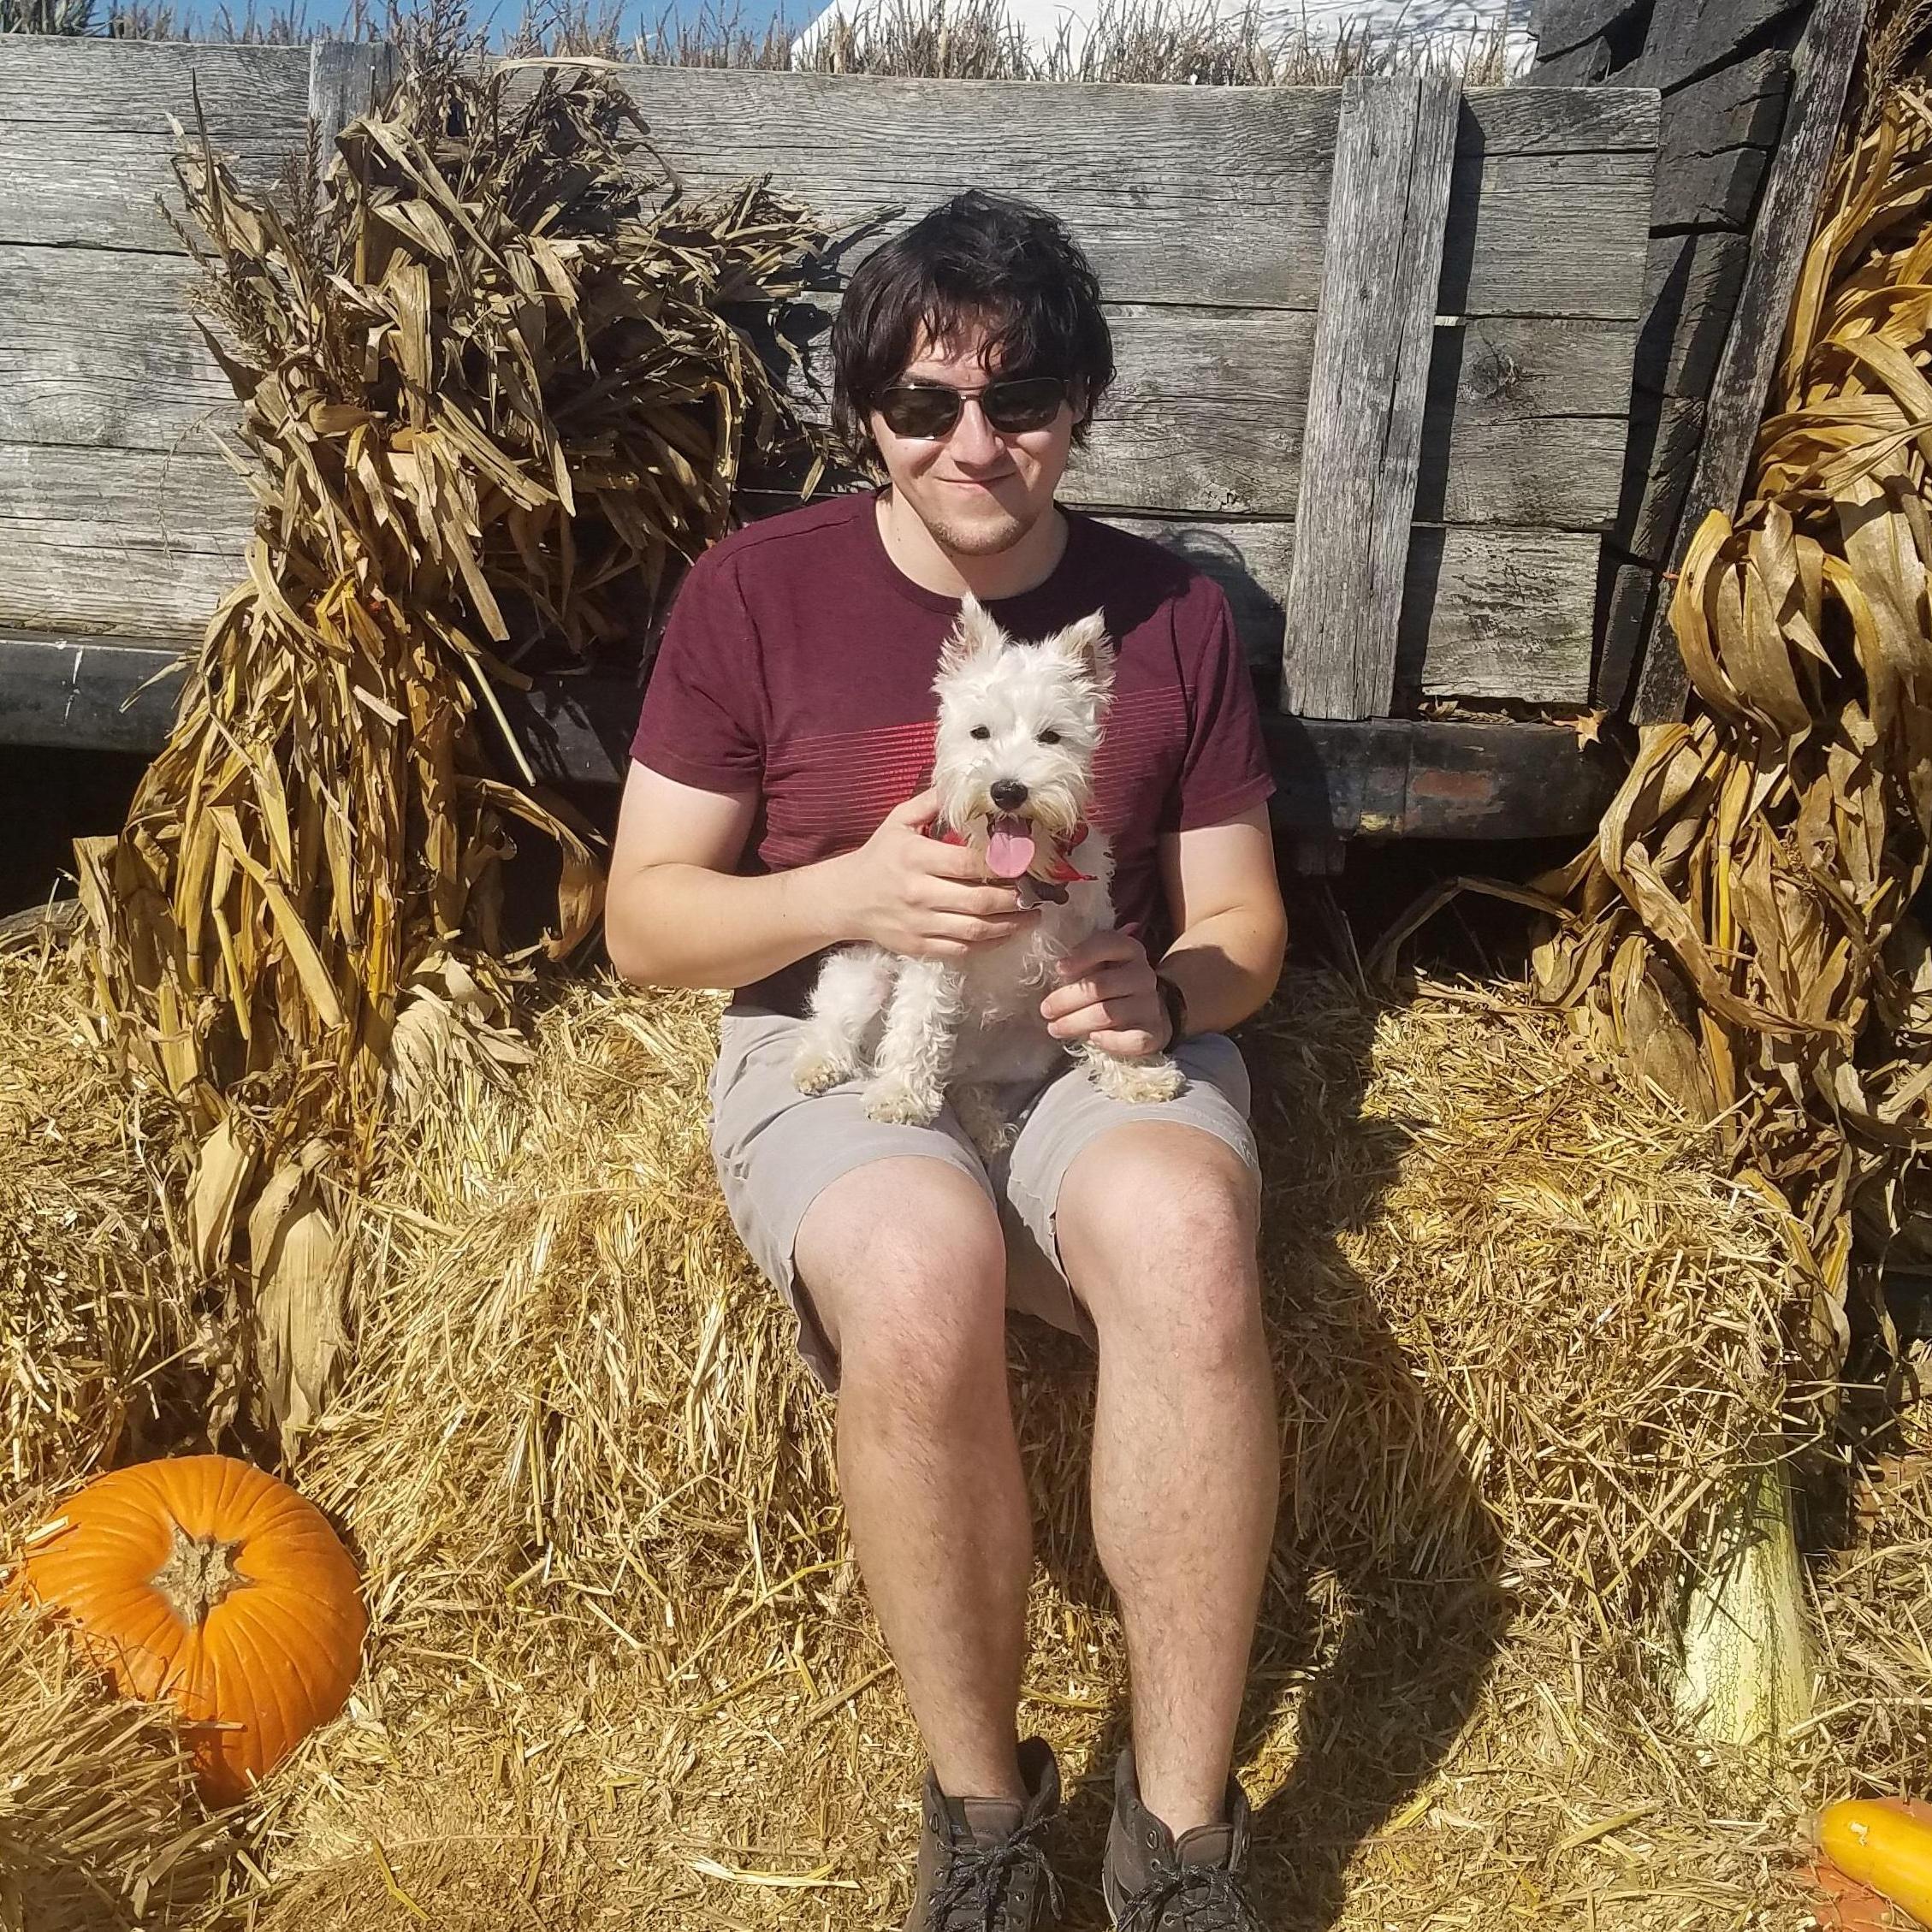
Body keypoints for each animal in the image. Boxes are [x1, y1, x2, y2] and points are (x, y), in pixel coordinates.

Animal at [791, 590, 1182, 1143]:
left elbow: (1101, 1017)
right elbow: (917, 1023)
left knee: (965, 1083)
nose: (1008, 790)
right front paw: (899, 1095)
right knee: (832, 1025)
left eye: (1051, 737)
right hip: (864, 975)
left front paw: (1136, 1075)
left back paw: (985, 1121)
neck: (1018, 876)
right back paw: (819, 1064)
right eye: (979, 732)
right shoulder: (934, 946)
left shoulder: (1084, 950)